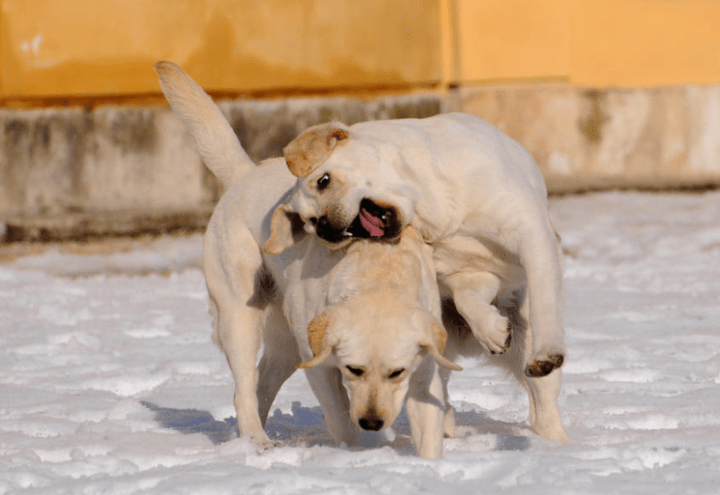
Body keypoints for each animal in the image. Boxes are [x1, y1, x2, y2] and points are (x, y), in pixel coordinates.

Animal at [157, 63, 462, 462]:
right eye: (354, 369)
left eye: (397, 373)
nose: (373, 422)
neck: (377, 275)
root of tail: (246, 174)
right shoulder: (317, 362)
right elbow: (341, 419)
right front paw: (357, 450)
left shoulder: (424, 368)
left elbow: (428, 434)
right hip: (241, 319)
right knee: (243, 388)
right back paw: (257, 441)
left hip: (283, 344)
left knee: (260, 385)